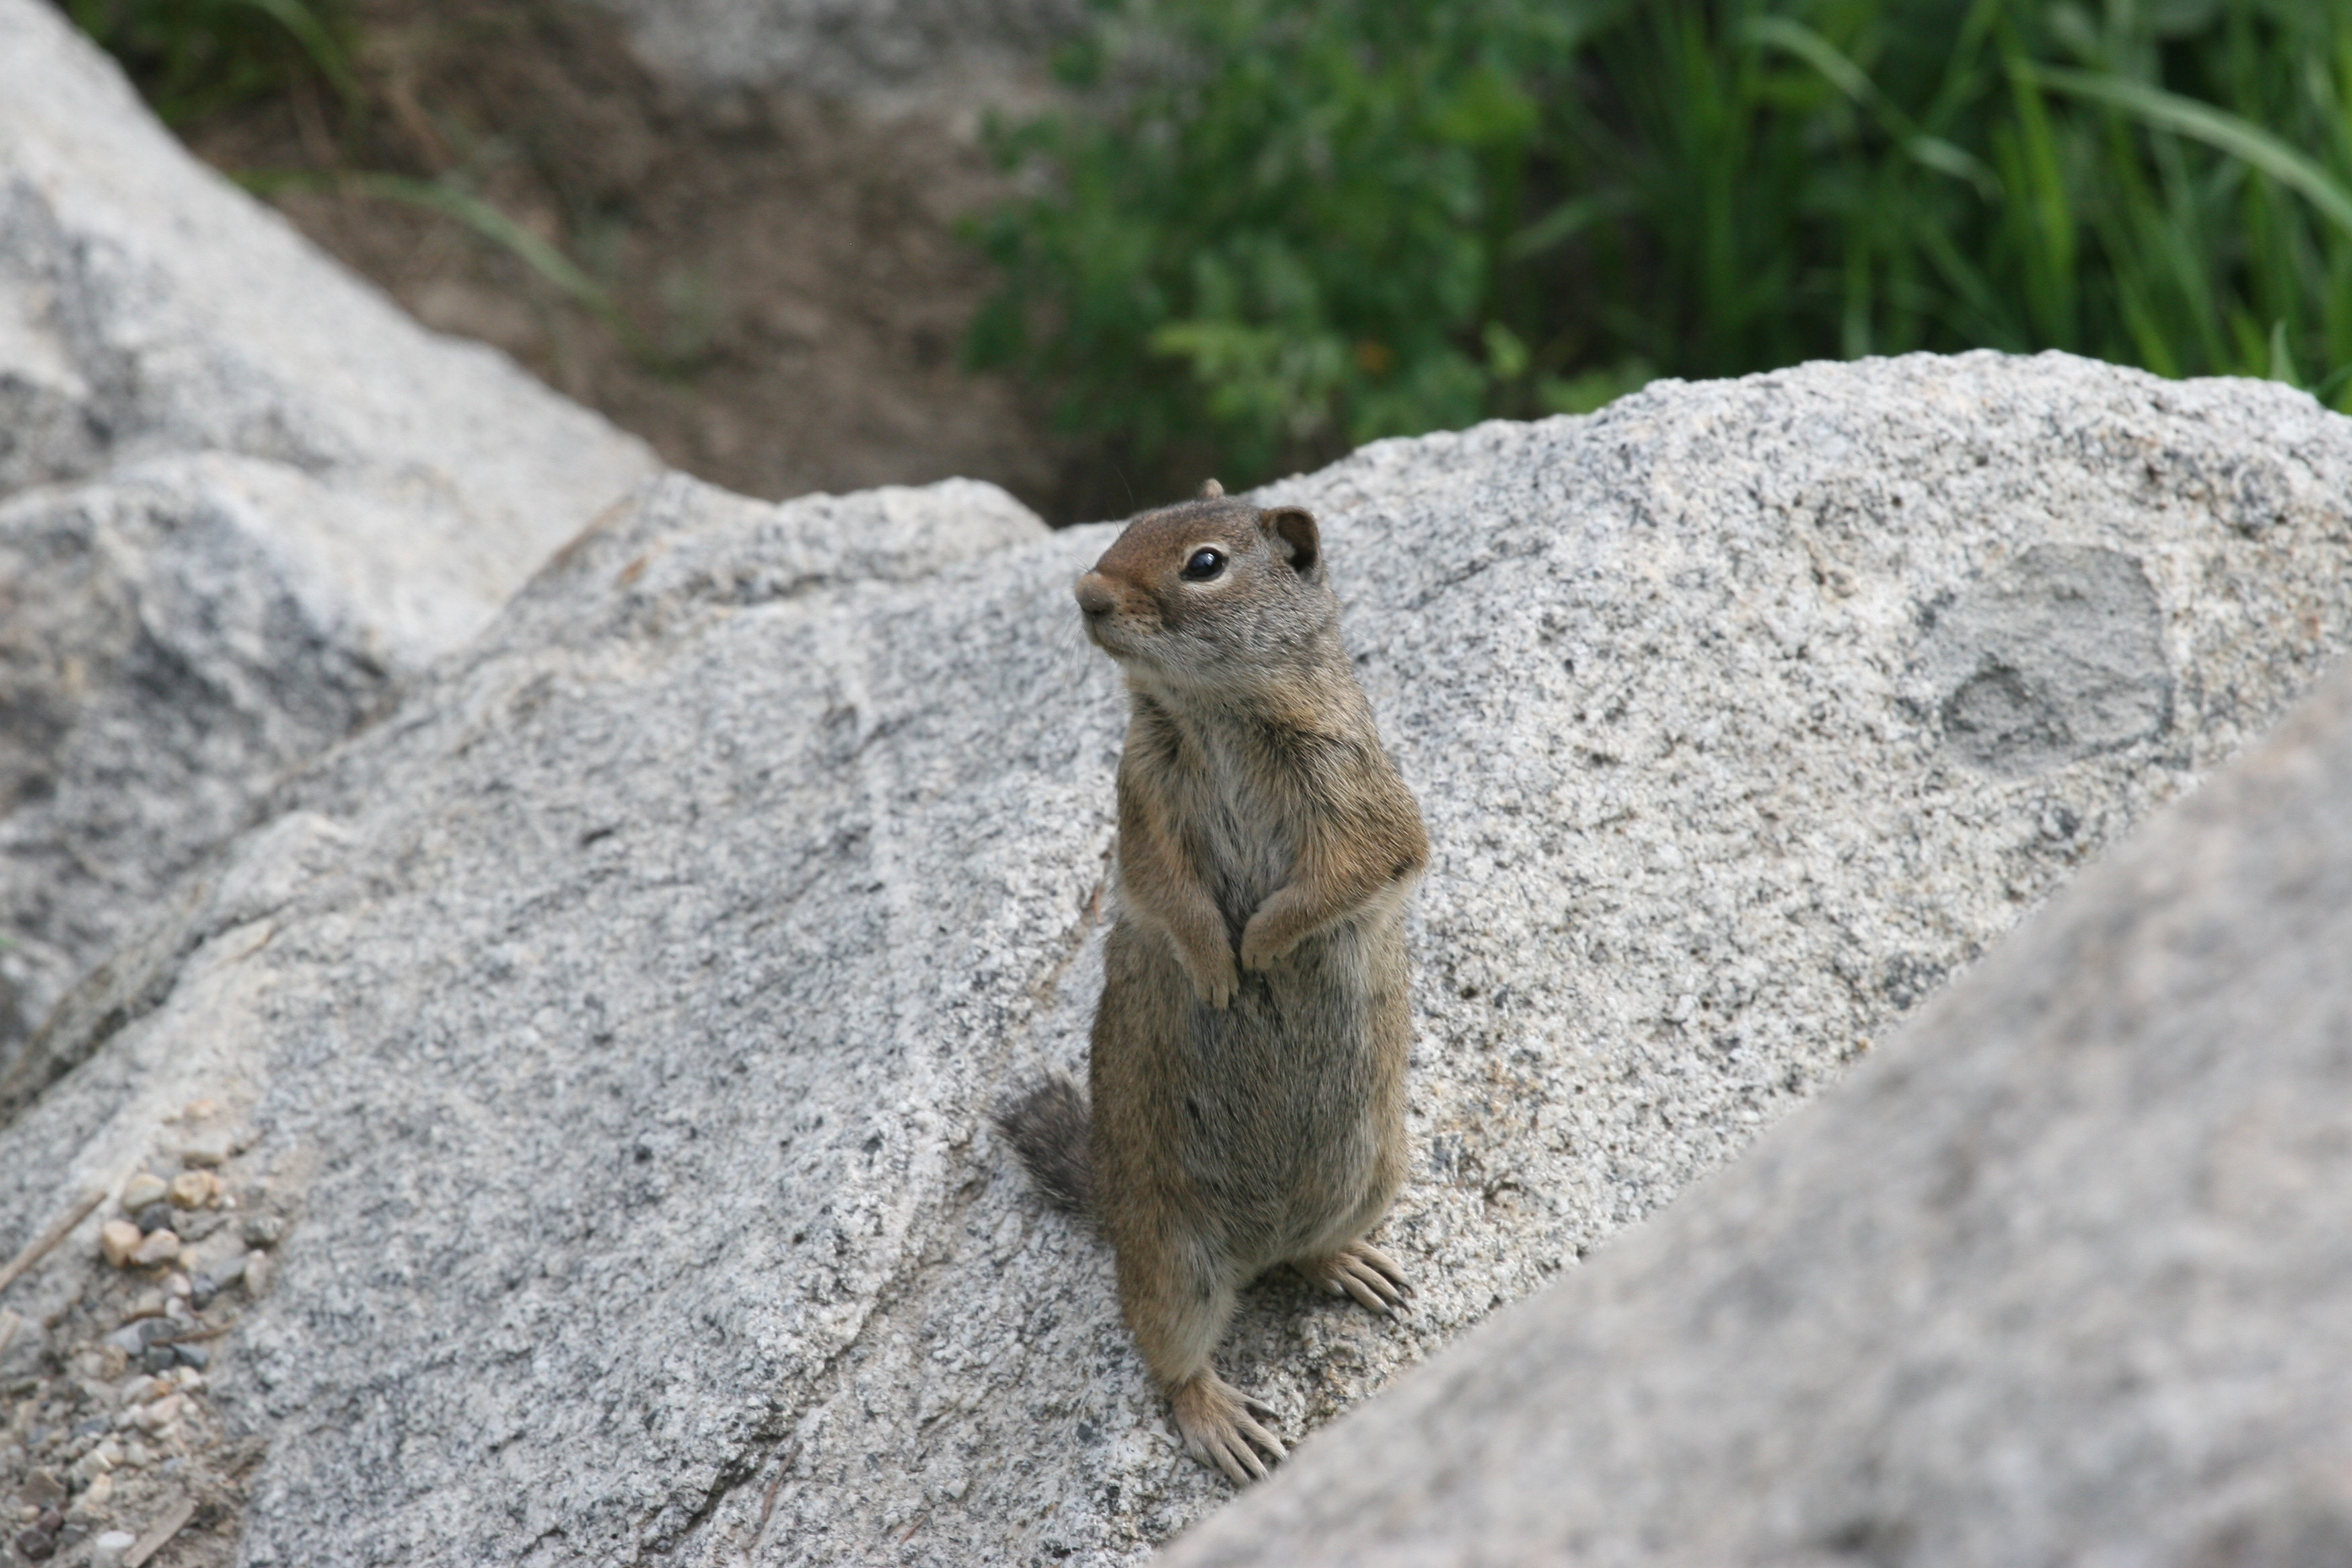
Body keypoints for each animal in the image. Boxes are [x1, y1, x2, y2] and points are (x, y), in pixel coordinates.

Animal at [996, 479, 1429, 1484]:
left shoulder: (1354, 791)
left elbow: (1349, 871)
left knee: (1307, 1257)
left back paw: (1351, 1266)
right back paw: (1223, 1420)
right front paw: (1219, 966)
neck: (1212, 709)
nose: (1088, 593)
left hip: (1374, 1172)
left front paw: (1263, 948)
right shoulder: (1140, 799)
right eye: (1122, 527)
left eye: (1204, 564)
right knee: (1171, 1361)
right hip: (1168, 1259)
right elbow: (1166, 890)